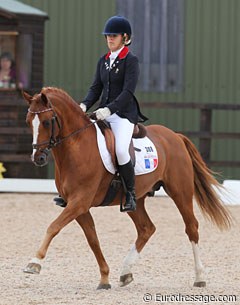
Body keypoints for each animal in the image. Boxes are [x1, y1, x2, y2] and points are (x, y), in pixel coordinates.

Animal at [23, 87, 231, 288]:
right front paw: (105, 278)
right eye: (28, 122)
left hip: (180, 192)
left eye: (47, 122)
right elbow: (92, 239)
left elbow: (53, 227)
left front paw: (34, 263)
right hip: (135, 200)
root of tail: (175, 136)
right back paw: (125, 272)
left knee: (191, 227)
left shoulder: (80, 202)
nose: (38, 158)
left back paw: (199, 277)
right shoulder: (78, 207)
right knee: (146, 228)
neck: (77, 146)